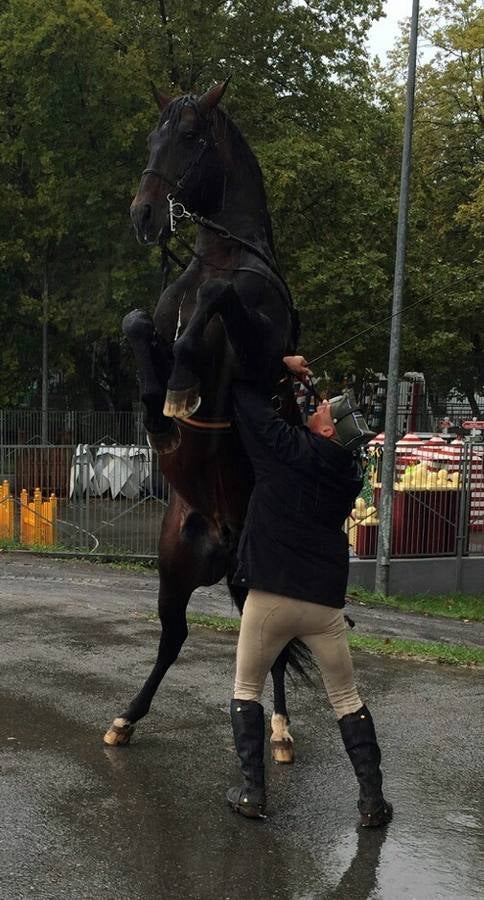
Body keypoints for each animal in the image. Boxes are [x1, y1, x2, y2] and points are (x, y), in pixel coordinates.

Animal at [105, 81, 310, 764]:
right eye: (152, 136)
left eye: (192, 136)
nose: (144, 215)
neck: (222, 257)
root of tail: (222, 536)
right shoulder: (154, 323)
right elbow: (138, 321)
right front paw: (159, 408)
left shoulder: (262, 357)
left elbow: (216, 307)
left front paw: (183, 390)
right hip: (175, 570)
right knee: (176, 638)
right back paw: (127, 718)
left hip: (257, 580)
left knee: (271, 646)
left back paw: (279, 729)